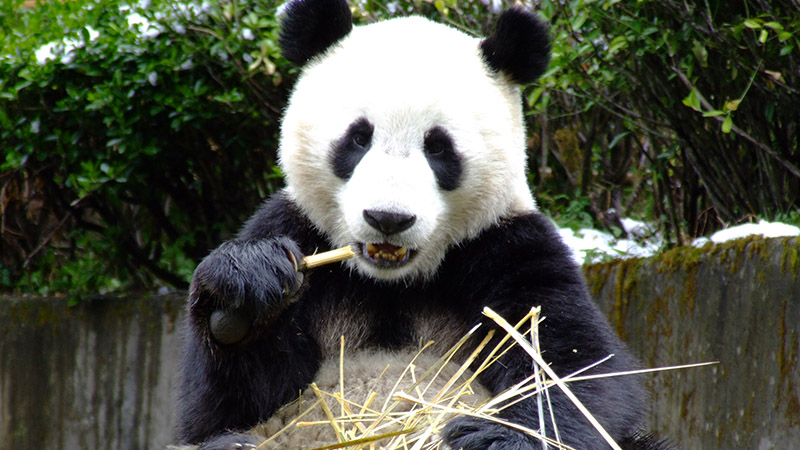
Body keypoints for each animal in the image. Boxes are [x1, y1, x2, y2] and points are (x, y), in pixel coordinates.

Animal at [175, 0, 671, 449]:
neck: (393, 281)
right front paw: (243, 297)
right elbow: (221, 411)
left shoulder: (507, 244)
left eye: (438, 148)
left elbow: (573, 369)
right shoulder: (298, 228)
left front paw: (499, 438)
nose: (388, 218)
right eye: (358, 138)